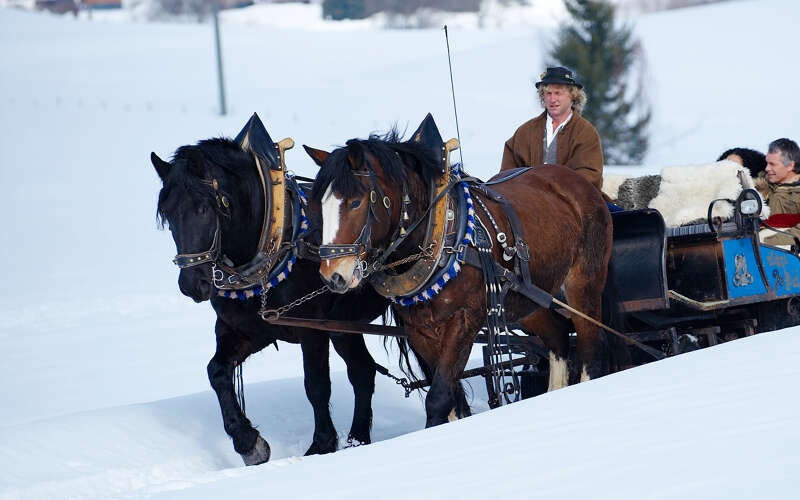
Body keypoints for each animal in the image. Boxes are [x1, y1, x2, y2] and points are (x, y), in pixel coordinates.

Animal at [152, 117, 390, 464]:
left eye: (203, 208)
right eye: (167, 214)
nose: (191, 284)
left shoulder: (312, 328)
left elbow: (316, 385)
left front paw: (321, 444)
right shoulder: (250, 329)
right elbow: (216, 371)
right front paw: (248, 442)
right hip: (344, 326)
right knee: (362, 372)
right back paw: (358, 439)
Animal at [304, 125, 612, 426]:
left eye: (356, 202)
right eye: (318, 206)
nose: (333, 275)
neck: (437, 235)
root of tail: (578, 183)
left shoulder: (464, 320)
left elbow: (439, 396)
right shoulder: (419, 330)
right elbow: (451, 398)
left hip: (584, 282)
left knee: (590, 346)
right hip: (528, 297)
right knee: (558, 335)